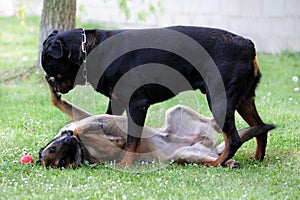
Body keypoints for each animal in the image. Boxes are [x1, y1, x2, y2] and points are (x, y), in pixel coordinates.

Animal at [41, 26, 268, 167]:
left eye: (51, 68)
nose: (52, 82)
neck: (91, 51)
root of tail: (248, 44)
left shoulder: (137, 104)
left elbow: (132, 140)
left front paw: (124, 164)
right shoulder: (116, 103)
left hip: (219, 99)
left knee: (233, 139)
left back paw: (215, 163)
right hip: (244, 100)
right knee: (260, 127)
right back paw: (257, 157)